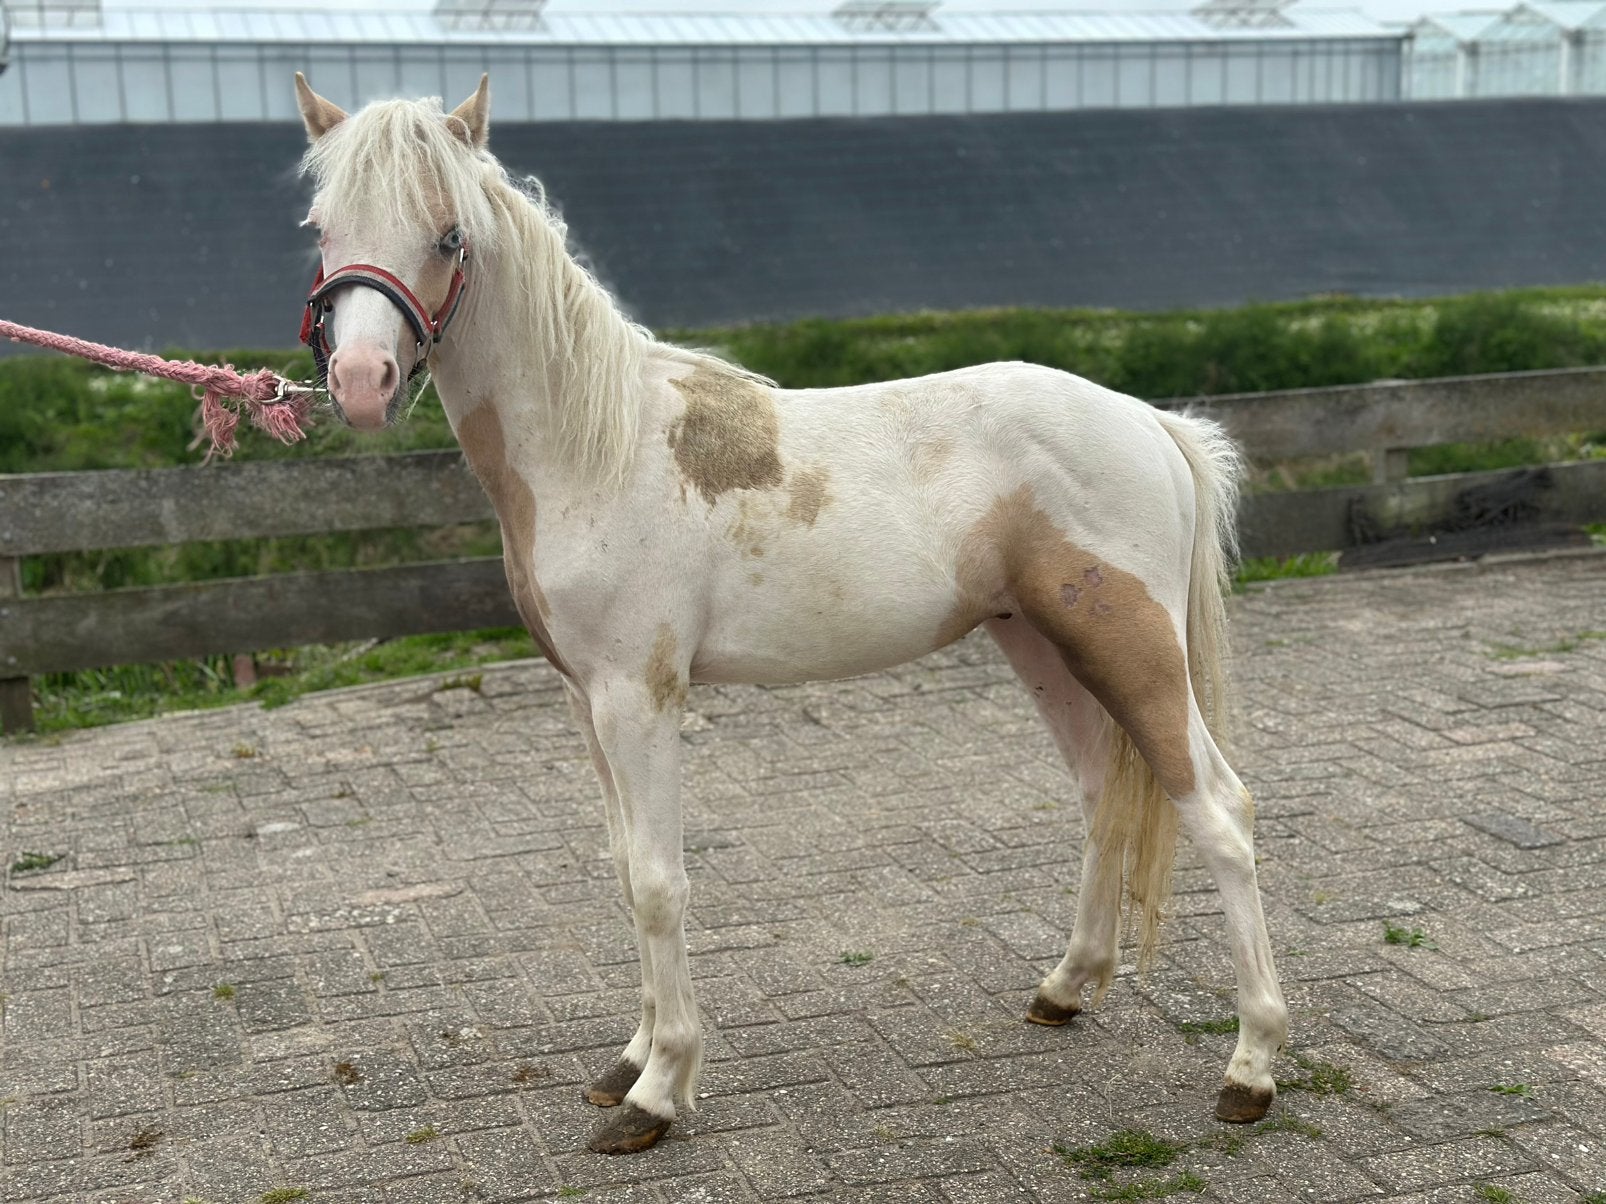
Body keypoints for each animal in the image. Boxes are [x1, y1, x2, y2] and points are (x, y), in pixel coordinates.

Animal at [291, 72, 1288, 1155]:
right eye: (323, 227)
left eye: (449, 236)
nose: (360, 384)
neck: (599, 446)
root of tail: (1148, 421)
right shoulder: (587, 703)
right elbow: (624, 868)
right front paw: (629, 1060)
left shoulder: (639, 697)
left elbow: (659, 883)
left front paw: (658, 1092)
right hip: (1044, 647)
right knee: (1106, 795)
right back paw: (1066, 988)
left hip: (1132, 650)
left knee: (1219, 810)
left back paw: (1251, 1066)